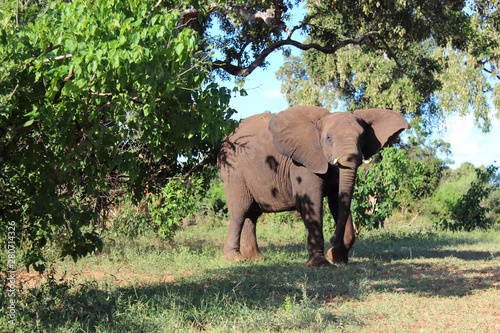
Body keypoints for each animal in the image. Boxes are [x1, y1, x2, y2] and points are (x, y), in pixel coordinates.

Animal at [217, 105, 408, 266]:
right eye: (328, 139)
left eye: (362, 139)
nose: (333, 240)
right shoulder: (303, 164)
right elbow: (312, 202)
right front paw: (320, 264)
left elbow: (338, 202)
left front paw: (337, 258)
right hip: (233, 171)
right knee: (240, 211)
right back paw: (235, 259)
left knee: (252, 214)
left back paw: (256, 258)